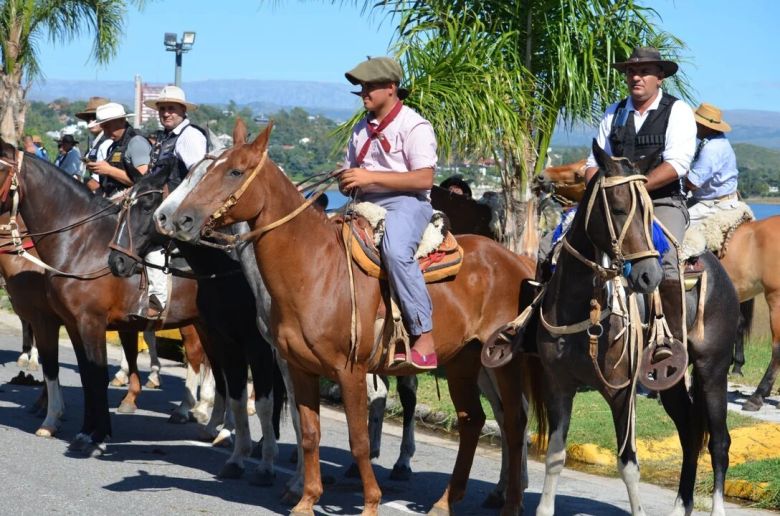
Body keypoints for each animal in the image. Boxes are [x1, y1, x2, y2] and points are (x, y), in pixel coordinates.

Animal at [152, 119, 544, 512]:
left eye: (235, 171)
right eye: (201, 170)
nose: (176, 219)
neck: (315, 269)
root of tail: (516, 261)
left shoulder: (349, 370)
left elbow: (357, 440)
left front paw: (370, 502)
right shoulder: (299, 366)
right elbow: (309, 432)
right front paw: (306, 498)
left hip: (502, 364)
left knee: (514, 424)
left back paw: (510, 502)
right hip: (464, 360)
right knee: (472, 421)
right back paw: (445, 503)